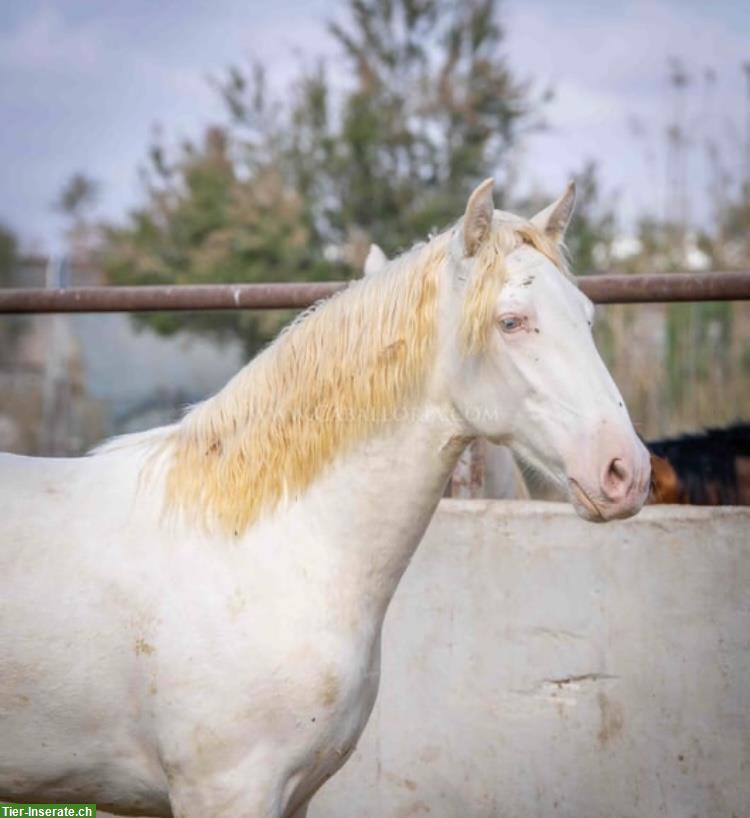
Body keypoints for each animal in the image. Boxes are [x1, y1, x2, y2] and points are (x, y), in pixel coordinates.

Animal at [0, 180, 648, 816]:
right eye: (511, 321)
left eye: (587, 317)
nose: (627, 471)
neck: (262, 548)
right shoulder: (228, 791)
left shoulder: (297, 795)